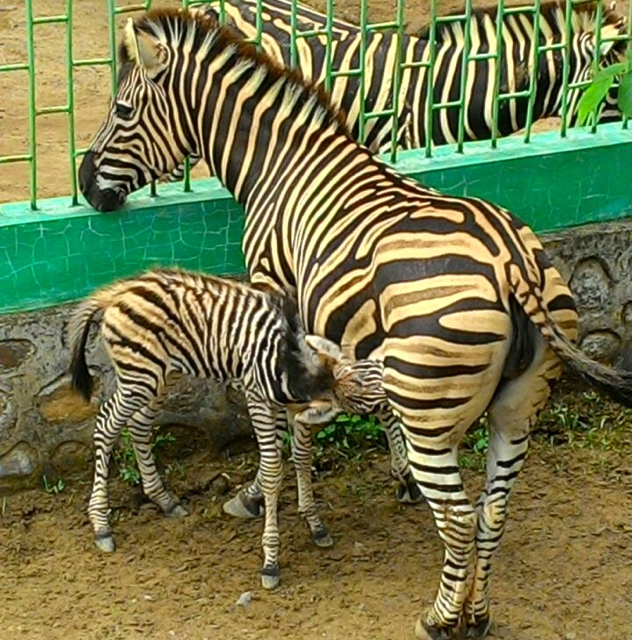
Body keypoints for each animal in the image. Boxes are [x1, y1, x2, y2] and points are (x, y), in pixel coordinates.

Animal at [68, 267, 384, 587]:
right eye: (364, 391)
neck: (296, 366)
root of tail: (118, 292)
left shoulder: (293, 409)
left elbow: (302, 458)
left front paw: (314, 523)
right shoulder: (258, 398)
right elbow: (273, 470)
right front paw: (270, 561)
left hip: (160, 375)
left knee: (140, 425)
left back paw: (164, 500)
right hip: (140, 376)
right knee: (106, 425)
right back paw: (101, 525)